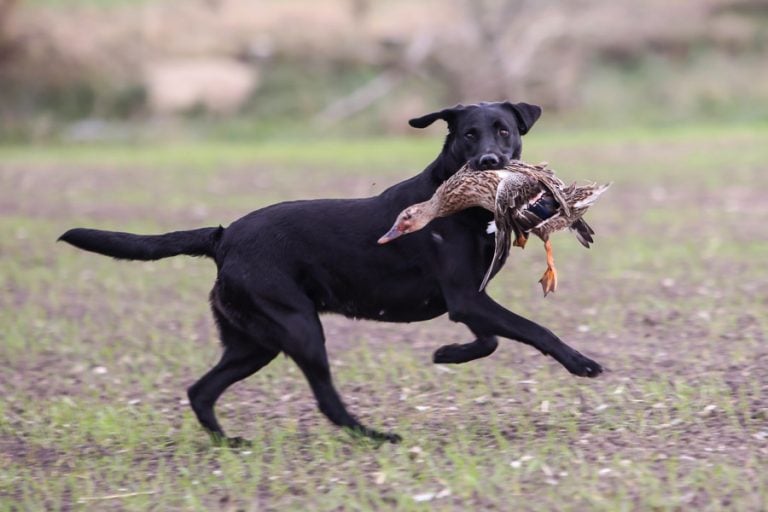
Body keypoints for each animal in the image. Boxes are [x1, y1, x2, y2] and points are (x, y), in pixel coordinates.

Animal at [58, 101, 600, 444]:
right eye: (469, 133)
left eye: (504, 130)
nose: (490, 161)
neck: (465, 204)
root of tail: (223, 236)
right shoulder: (466, 299)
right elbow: (533, 329)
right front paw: (580, 362)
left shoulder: (466, 302)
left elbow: (488, 340)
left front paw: (448, 353)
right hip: (298, 327)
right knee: (325, 401)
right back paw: (375, 435)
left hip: (254, 341)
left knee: (201, 390)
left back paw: (228, 443)